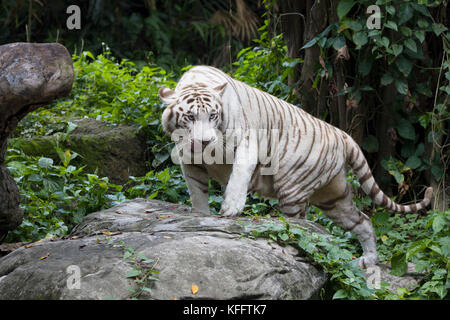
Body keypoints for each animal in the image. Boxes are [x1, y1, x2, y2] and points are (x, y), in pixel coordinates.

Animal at [158, 65, 432, 268]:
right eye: (190, 117)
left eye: (213, 115)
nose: (205, 142)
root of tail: (342, 133)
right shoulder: (189, 160)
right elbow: (197, 191)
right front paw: (201, 215)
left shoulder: (247, 142)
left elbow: (238, 175)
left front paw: (231, 208)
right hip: (333, 197)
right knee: (362, 221)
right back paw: (369, 260)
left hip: (292, 188)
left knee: (300, 227)